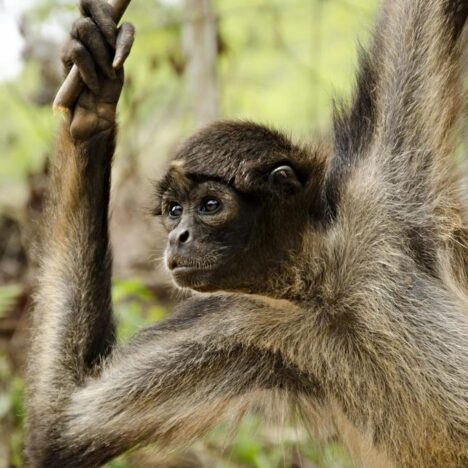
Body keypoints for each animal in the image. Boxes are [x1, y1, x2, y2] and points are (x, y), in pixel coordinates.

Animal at [24, 0, 468, 466]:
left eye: (210, 206)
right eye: (174, 212)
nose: (177, 238)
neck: (323, 286)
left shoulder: (383, 193)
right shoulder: (249, 324)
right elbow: (63, 424)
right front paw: (92, 105)